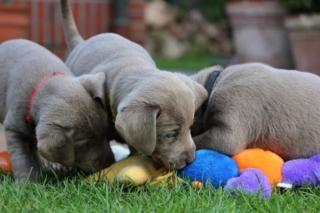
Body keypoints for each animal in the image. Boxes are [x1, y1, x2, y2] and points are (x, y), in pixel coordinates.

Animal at [0, 39, 112, 181]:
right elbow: (22, 159)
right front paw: (27, 182)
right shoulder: (14, 130)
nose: (111, 162)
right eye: (85, 144)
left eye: (105, 133)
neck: (44, 80)